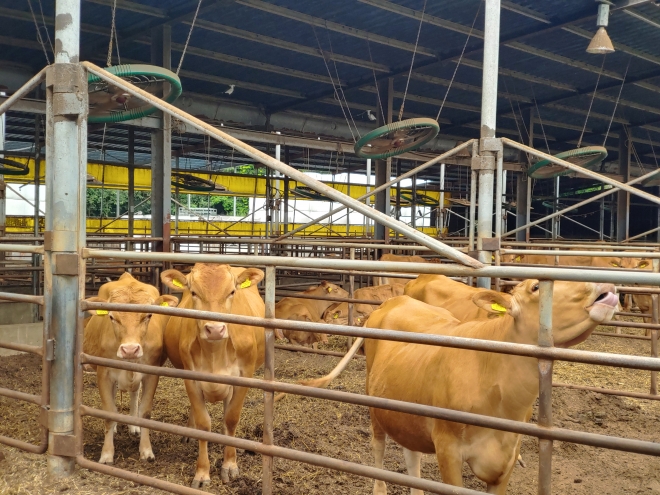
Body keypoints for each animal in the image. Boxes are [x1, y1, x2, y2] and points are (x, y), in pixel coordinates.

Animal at [82, 274, 178, 466]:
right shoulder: (104, 374)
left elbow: (145, 412)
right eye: (112, 317)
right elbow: (109, 412)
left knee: (134, 394)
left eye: (148, 315)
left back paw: (133, 426)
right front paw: (106, 454)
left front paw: (146, 450)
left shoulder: (151, 374)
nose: (130, 349)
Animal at [162, 264, 266, 488]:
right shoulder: (191, 379)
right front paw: (202, 473)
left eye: (232, 292)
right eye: (193, 292)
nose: (215, 329)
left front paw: (230, 465)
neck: (215, 353)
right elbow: (203, 424)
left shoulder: (243, 377)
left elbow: (231, 419)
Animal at [366, 280, 620, 494]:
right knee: (378, 447)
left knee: (411, 454)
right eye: (536, 287)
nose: (606, 288)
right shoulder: (447, 447)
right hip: (374, 402)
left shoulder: (508, 455)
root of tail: (396, 300)